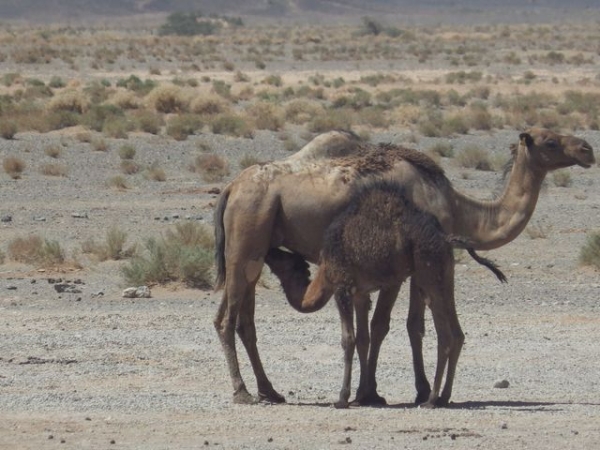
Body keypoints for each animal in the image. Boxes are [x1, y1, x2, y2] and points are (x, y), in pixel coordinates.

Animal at [264, 179, 504, 408]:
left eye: (283, 259)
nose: (269, 250)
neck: (325, 273)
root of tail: (445, 238)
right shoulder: (361, 293)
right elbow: (363, 339)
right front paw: (363, 396)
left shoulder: (343, 285)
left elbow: (348, 339)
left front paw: (343, 398)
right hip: (445, 275)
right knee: (457, 333)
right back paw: (444, 397)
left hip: (427, 271)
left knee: (444, 334)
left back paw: (431, 399)